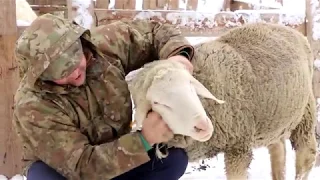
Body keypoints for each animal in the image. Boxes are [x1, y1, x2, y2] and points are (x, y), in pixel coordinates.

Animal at [126, 22, 318, 180]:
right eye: (159, 103)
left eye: (191, 87)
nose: (204, 126)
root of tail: (291, 30)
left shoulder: (238, 147)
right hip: (273, 118)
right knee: (278, 151)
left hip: (305, 113)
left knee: (306, 155)